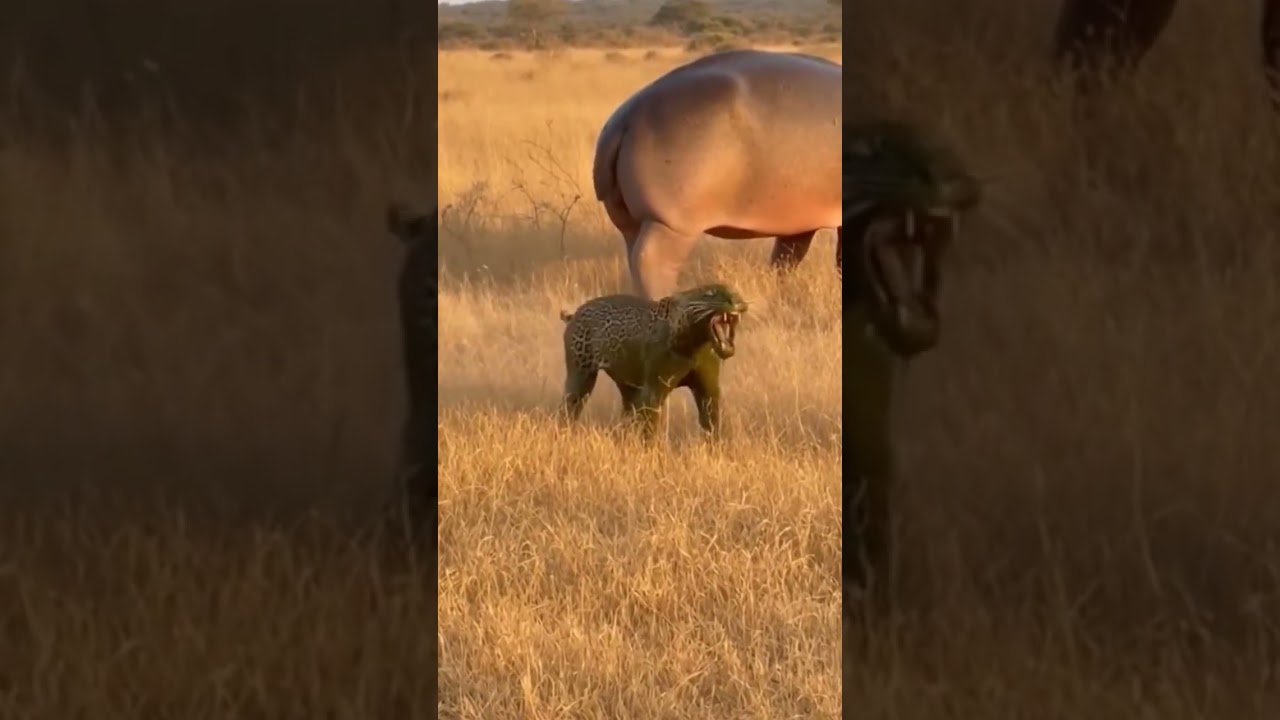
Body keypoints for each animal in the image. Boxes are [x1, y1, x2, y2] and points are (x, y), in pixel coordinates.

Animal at [592, 49, 842, 300]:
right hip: (670, 223)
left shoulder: (799, 218)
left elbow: (786, 258)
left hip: (629, 220)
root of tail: (626, 116)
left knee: (633, 254)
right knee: (651, 262)